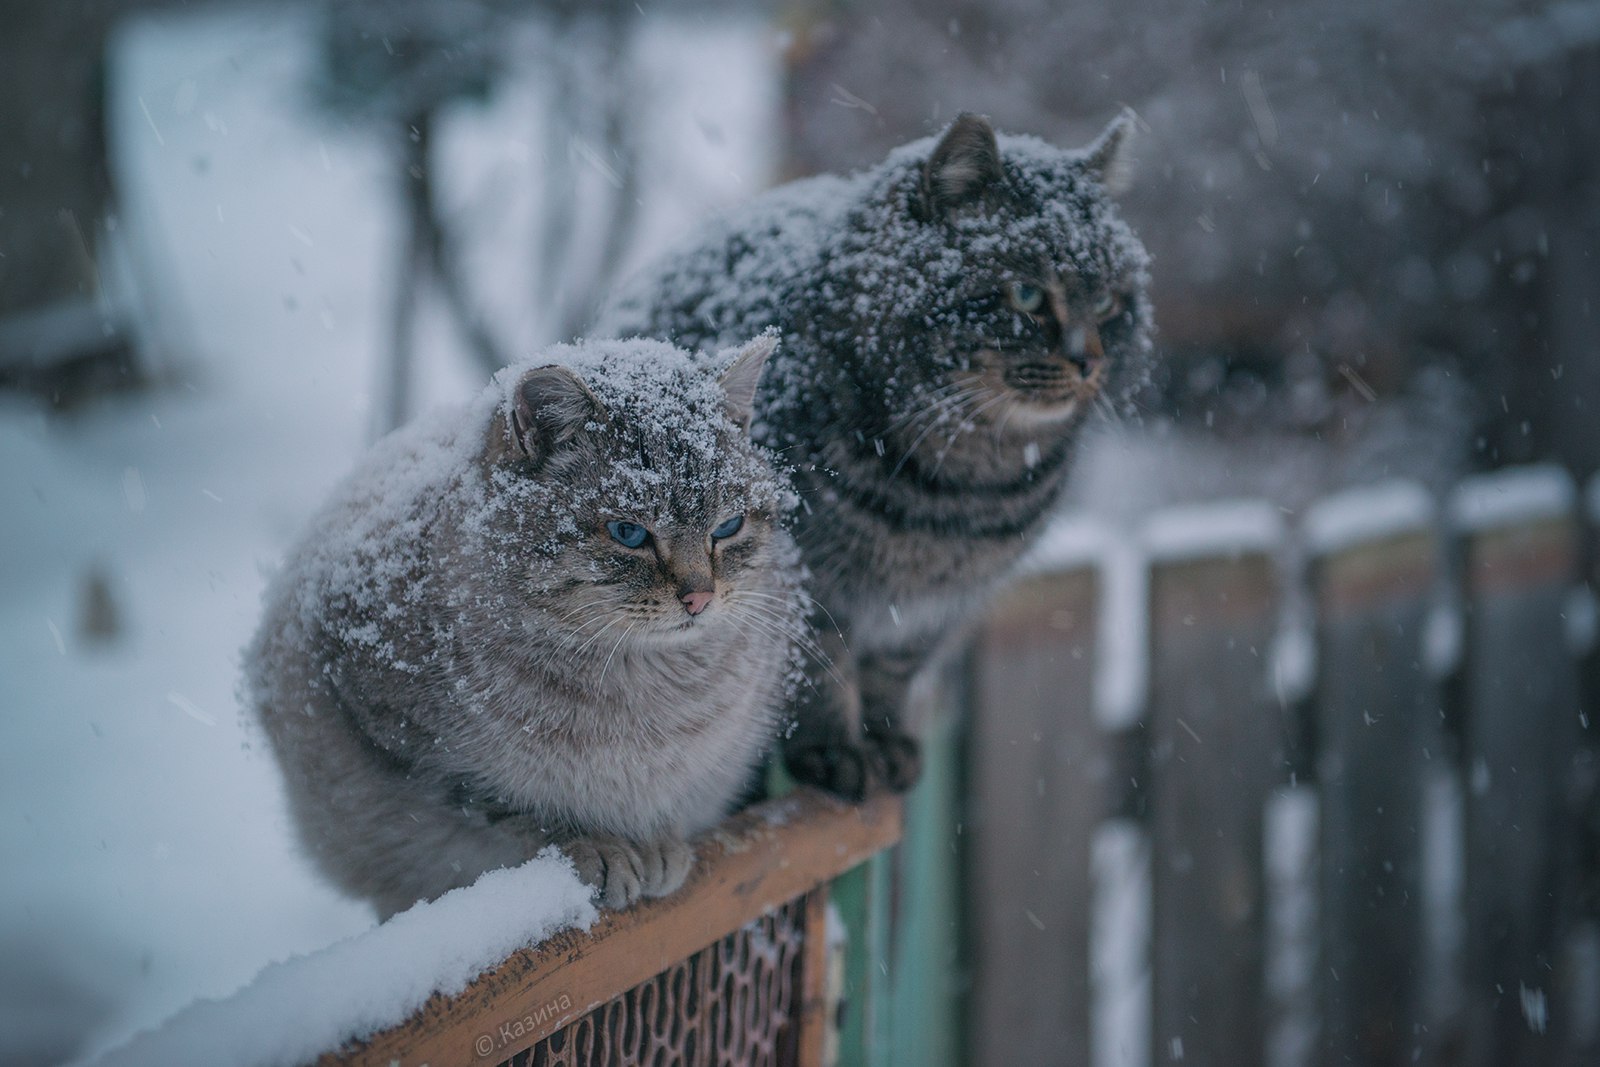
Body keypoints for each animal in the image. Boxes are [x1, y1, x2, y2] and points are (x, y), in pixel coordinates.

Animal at [244, 335, 806, 921]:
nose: (700, 598)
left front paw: (653, 843)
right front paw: (602, 846)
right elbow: (520, 811)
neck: (641, 687)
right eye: (628, 533)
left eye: (728, 526)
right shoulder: (417, 749)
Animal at [601, 115, 1152, 799]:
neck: (965, 489)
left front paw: (888, 744)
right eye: (1026, 294)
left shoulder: (935, 608)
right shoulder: (810, 585)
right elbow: (821, 672)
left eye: (1106, 303)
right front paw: (837, 753)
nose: (1089, 361)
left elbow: (893, 673)